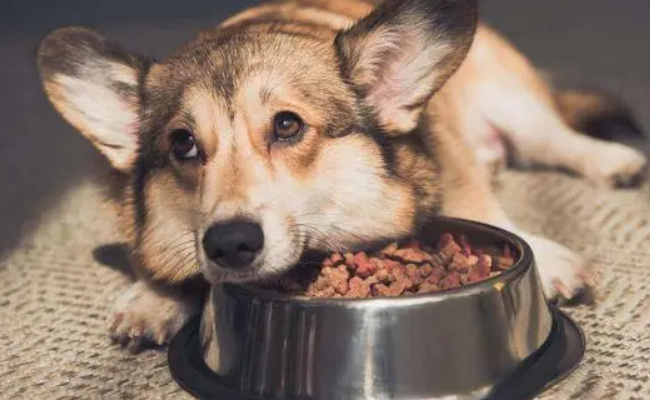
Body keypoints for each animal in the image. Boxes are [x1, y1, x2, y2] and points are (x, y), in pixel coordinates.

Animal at [35, 0, 644, 350]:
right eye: (183, 144)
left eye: (287, 125)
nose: (230, 244)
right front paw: (155, 298)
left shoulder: (451, 157)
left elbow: (481, 206)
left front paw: (551, 259)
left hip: (513, 100)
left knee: (559, 138)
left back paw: (614, 161)